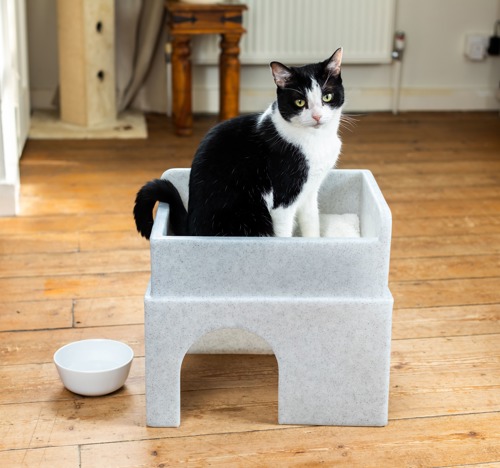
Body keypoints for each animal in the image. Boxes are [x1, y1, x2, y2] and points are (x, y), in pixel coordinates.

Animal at [134, 48, 344, 238]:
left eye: (327, 97)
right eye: (300, 102)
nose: (317, 116)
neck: (317, 139)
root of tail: (190, 229)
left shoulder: (310, 191)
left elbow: (311, 223)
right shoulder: (283, 199)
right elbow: (283, 235)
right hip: (250, 216)